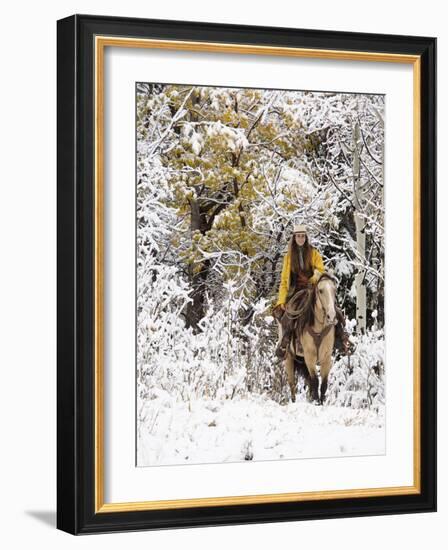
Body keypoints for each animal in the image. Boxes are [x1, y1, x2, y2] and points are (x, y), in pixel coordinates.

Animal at [274, 272, 338, 406]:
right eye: (321, 290)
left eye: (334, 290)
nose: (331, 316)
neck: (318, 327)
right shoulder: (310, 357)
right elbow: (315, 381)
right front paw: (317, 402)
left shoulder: (326, 357)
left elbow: (324, 384)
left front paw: (321, 402)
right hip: (289, 358)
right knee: (292, 385)